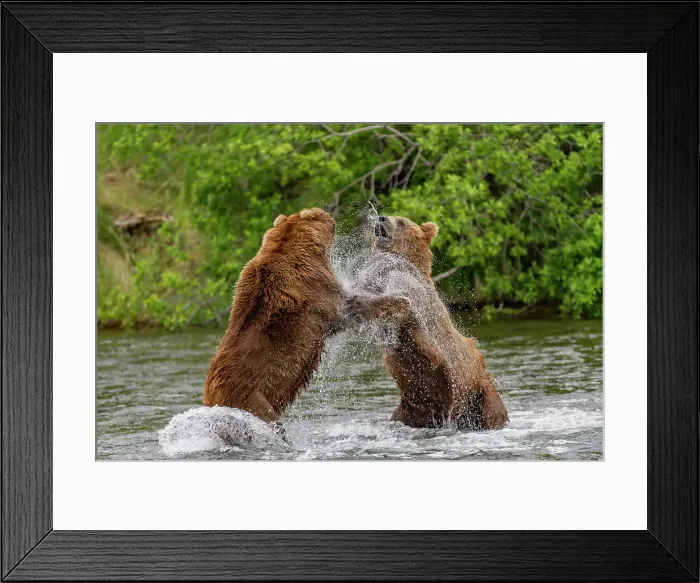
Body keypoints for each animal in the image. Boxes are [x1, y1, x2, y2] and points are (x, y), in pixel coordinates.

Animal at [344, 214, 508, 430]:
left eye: (401, 221)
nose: (382, 217)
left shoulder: (416, 299)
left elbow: (402, 304)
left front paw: (356, 303)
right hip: (411, 408)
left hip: (481, 394)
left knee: (493, 411)